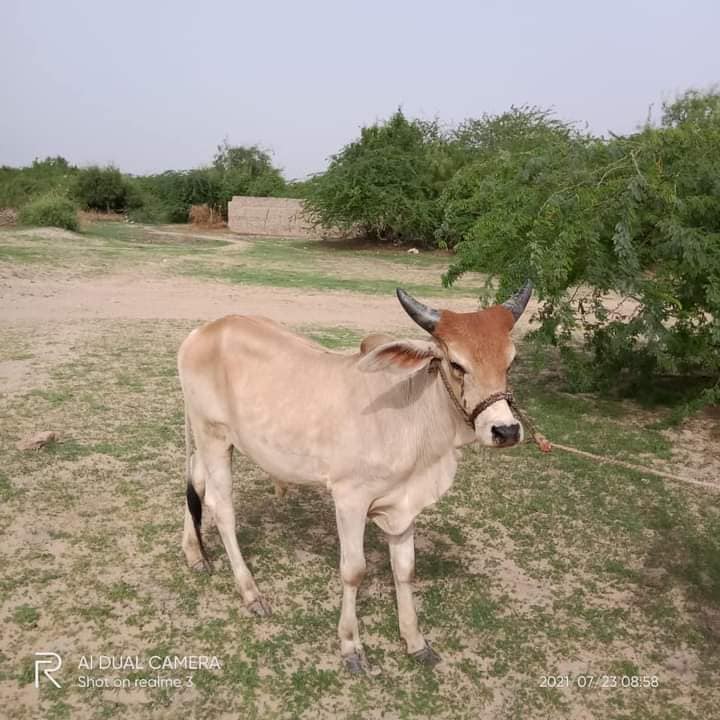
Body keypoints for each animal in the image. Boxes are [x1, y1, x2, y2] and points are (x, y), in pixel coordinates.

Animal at [177, 282, 532, 676]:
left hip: (213, 440)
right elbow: (354, 571)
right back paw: (251, 592)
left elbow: (405, 569)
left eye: (511, 361)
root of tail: (203, 331)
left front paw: (415, 641)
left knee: (196, 483)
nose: (505, 430)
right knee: (221, 507)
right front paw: (351, 646)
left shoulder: (404, 504)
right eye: (456, 364)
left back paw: (194, 554)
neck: (410, 415)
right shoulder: (349, 499)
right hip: (212, 435)